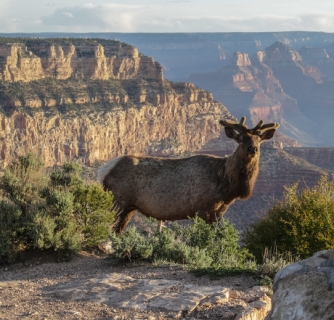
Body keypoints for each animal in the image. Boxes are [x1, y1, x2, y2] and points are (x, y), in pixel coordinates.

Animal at [97, 116, 280, 234]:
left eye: (259, 140)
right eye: (241, 138)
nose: (252, 149)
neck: (227, 186)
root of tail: (103, 170)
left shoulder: (219, 212)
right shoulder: (202, 208)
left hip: (129, 207)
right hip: (117, 200)